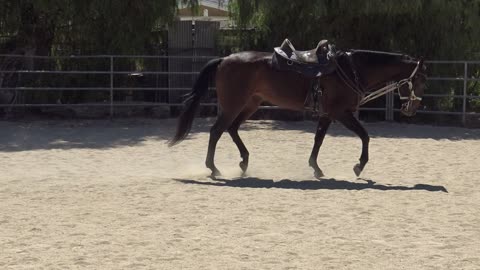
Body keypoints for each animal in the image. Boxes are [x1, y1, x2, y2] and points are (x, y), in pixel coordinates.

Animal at [169, 48, 428, 179]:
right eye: (421, 78)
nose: (413, 108)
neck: (351, 69)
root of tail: (225, 59)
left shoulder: (328, 114)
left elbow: (318, 140)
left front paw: (315, 167)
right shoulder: (341, 112)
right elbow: (365, 136)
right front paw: (359, 166)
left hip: (250, 104)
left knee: (231, 129)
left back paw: (243, 162)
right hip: (234, 105)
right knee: (216, 131)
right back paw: (213, 168)